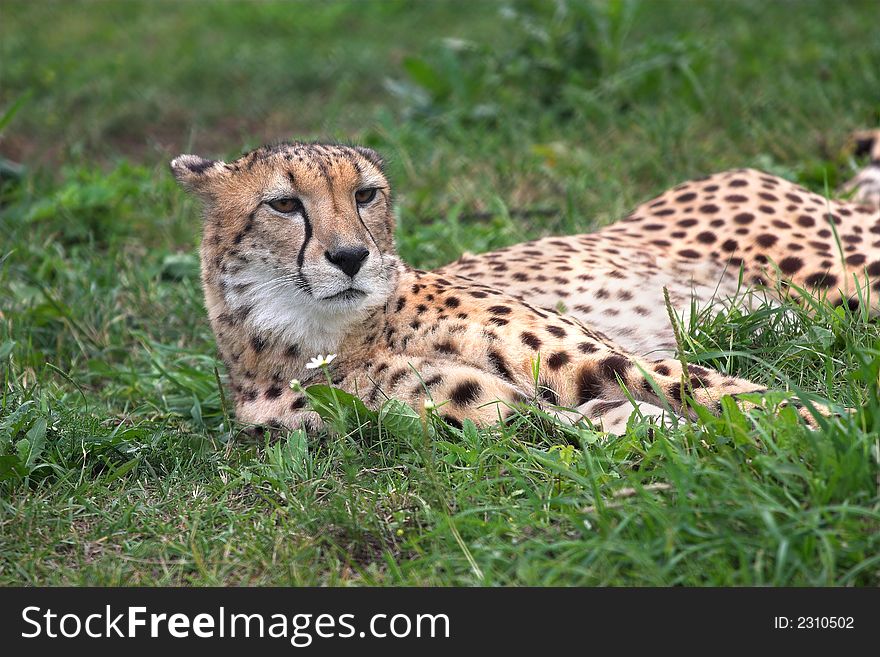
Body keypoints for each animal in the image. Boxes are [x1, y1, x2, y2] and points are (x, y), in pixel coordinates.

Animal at [170, 142, 872, 436]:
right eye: (285, 205)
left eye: (365, 195)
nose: (350, 257)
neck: (319, 331)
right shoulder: (483, 411)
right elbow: (617, 423)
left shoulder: (598, 357)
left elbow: (717, 391)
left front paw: (833, 430)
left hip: (847, 278)